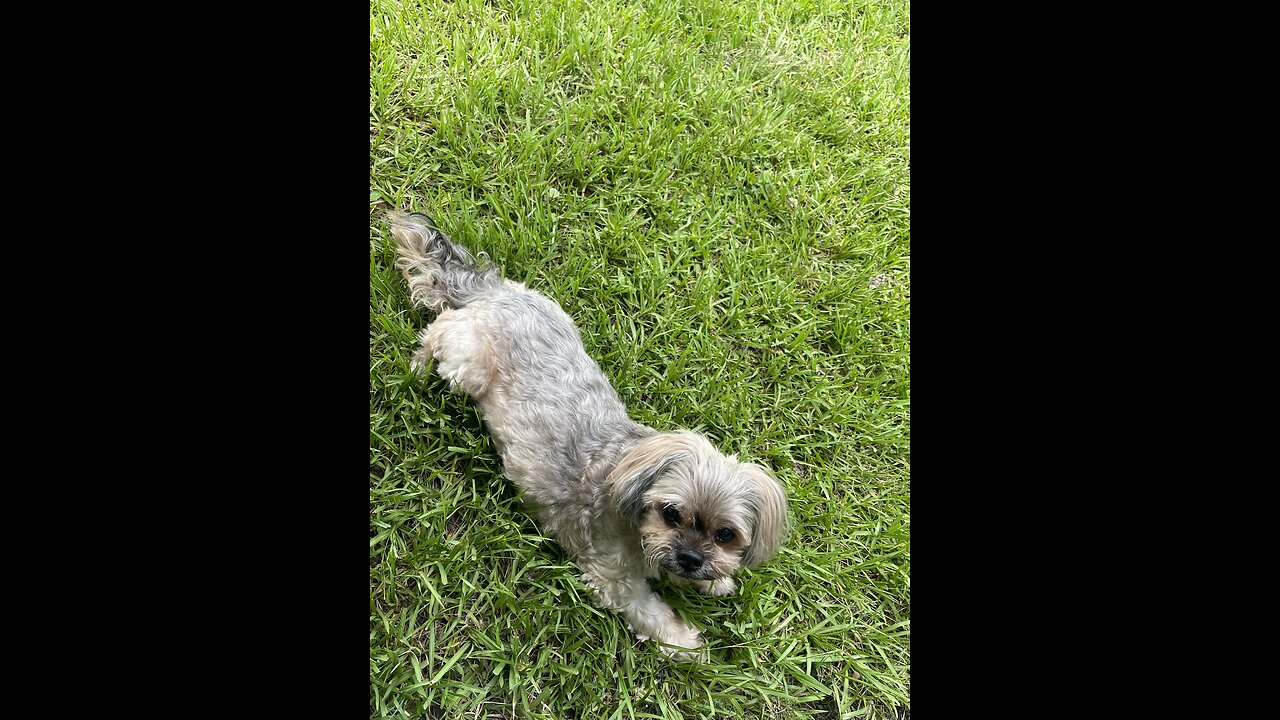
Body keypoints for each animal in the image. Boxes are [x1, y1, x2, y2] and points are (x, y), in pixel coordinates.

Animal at [386, 210, 788, 661]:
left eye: (725, 535)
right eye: (670, 513)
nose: (689, 557)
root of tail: (493, 291)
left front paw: (715, 580)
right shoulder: (614, 579)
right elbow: (653, 615)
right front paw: (688, 646)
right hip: (465, 365)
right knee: (437, 328)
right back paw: (417, 365)